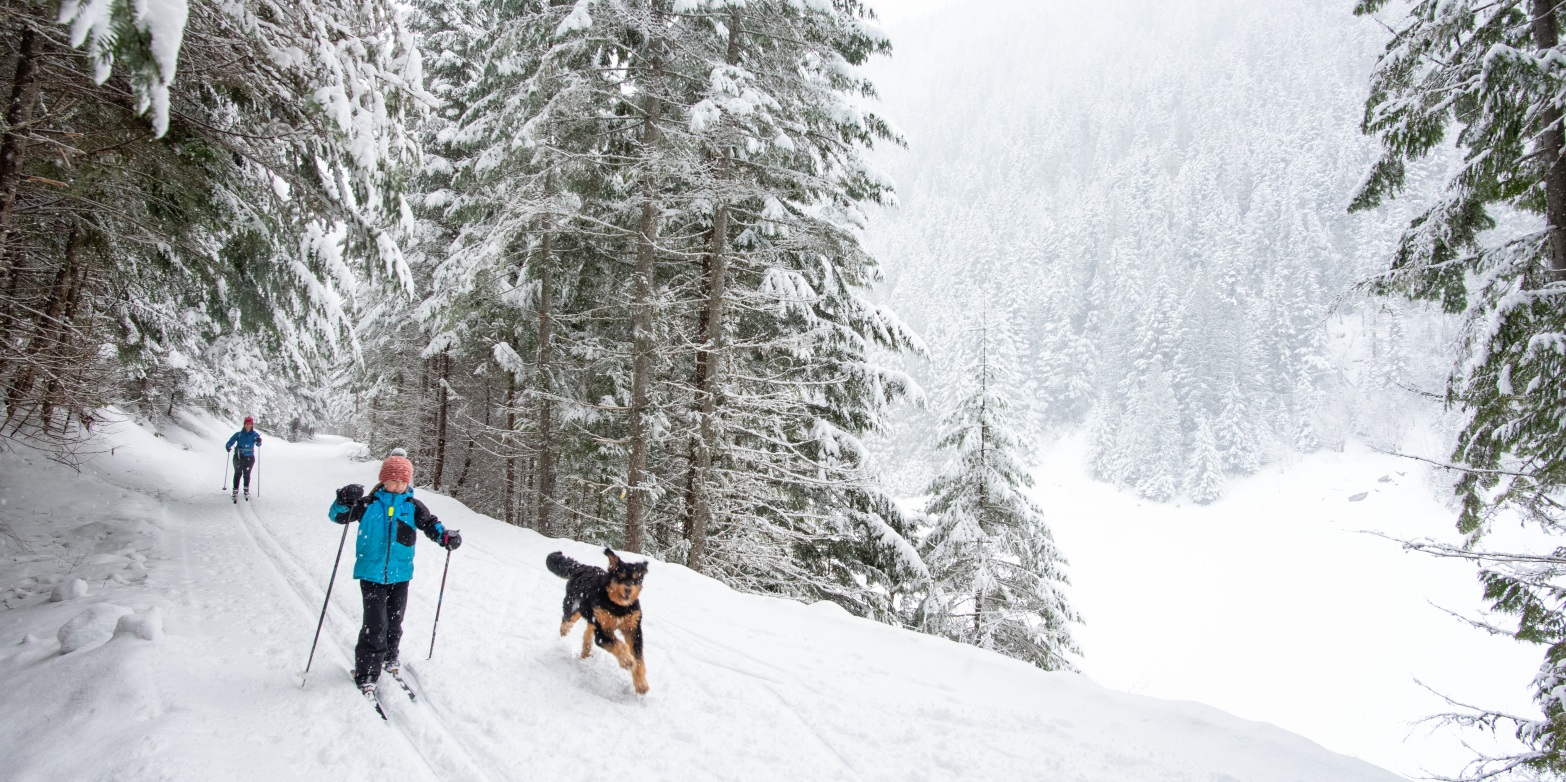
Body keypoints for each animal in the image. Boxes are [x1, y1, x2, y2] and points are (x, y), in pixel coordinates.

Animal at [551, 548, 648, 695]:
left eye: (636, 580)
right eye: (620, 577)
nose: (628, 590)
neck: (618, 608)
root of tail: (580, 567)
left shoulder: (633, 629)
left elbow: (639, 658)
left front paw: (641, 684)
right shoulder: (602, 632)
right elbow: (618, 645)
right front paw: (627, 661)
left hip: (593, 617)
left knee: (587, 633)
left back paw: (585, 654)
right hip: (574, 607)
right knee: (566, 621)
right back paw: (564, 633)